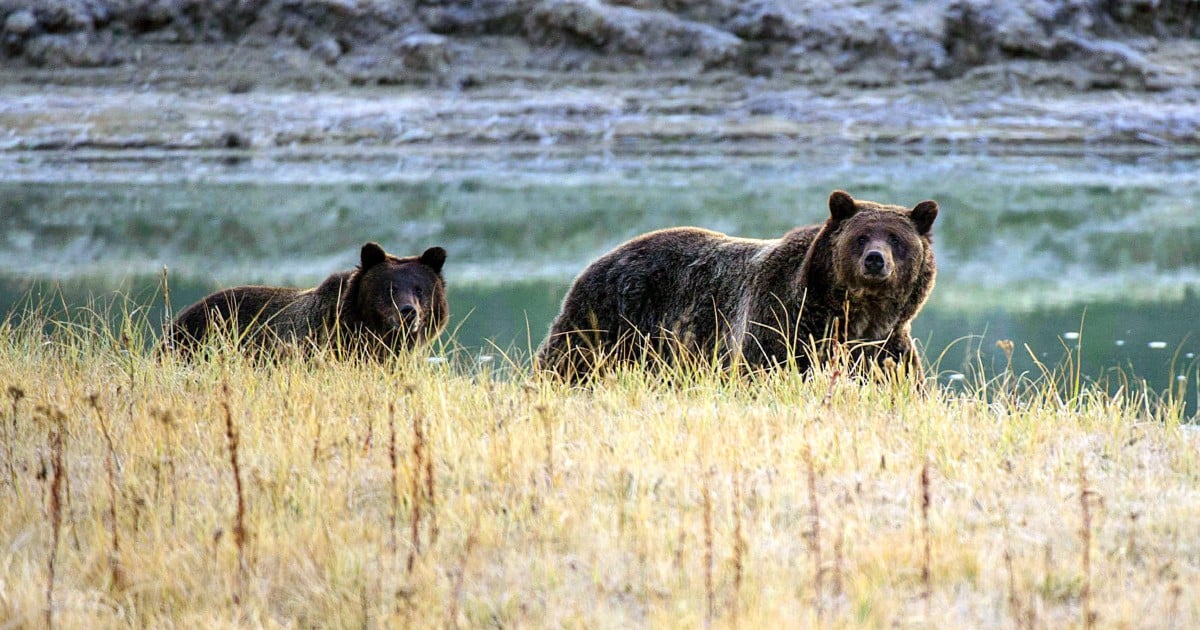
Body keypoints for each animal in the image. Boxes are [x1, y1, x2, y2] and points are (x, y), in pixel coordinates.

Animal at [535, 189, 936, 381]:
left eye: (896, 238)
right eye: (861, 236)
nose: (875, 260)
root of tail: (598, 259)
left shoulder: (884, 348)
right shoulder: (780, 325)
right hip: (607, 320)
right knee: (567, 363)